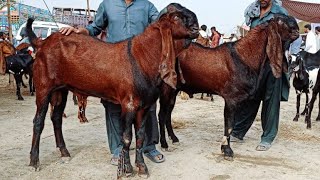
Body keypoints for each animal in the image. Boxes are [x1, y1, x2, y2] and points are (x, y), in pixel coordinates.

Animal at [26, 3, 199, 178]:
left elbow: (140, 136)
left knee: (56, 118)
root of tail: (42, 43)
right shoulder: (129, 104)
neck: (142, 57)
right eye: (176, 17)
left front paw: (142, 167)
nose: (196, 27)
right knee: (38, 122)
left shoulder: (144, 106)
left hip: (61, 89)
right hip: (43, 87)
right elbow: (127, 137)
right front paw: (127, 169)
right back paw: (34, 162)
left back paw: (64, 153)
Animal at [158, 14, 300, 160]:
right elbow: (230, 124)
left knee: (168, 113)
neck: (244, 56)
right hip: (166, 89)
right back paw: (164, 144)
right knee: (162, 115)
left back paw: (174, 138)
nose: (297, 29)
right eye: (280, 20)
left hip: (174, 90)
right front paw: (227, 150)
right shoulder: (231, 99)